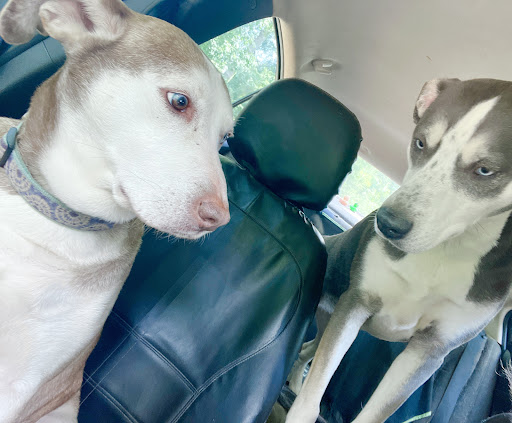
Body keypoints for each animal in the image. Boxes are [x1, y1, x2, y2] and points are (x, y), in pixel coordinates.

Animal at [285, 78, 512, 423]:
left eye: (485, 170)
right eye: (420, 143)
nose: (388, 223)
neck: (444, 250)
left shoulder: (428, 351)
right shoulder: (356, 304)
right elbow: (315, 389)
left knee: (308, 350)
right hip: (330, 311)